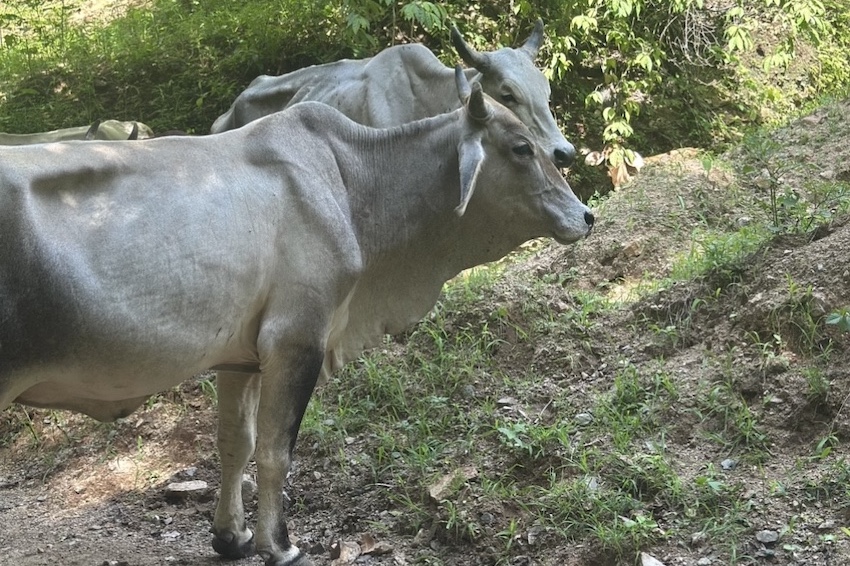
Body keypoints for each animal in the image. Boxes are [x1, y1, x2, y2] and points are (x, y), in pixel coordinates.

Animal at [0, 69, 594, 566]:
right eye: (521, 147)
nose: (586, 215)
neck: (353, 182)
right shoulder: (297, 339)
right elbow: (275, 451)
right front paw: (279, 545)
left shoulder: (239, 357)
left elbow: (234, 443)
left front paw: (232, 538)